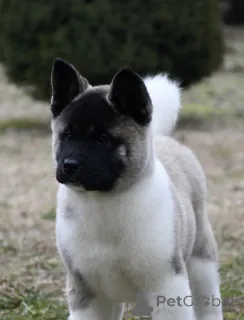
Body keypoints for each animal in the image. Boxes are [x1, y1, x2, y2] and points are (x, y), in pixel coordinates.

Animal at [50, 58, 223, 320]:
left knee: (208, 301)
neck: (103, 202)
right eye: (67, 135)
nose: (69, 165)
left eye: (102, 139)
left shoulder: (168, 285)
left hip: (201, 261)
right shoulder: (87, 292)